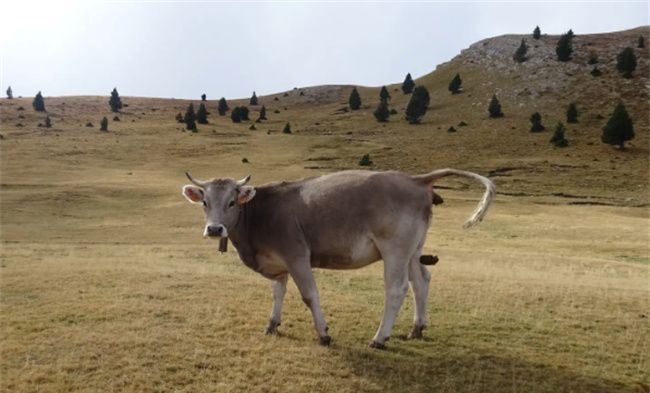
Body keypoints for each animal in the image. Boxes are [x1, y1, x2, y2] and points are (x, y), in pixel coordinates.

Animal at [180, 167, 494, 348]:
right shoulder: (278, 263)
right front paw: (272, 324)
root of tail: (414, 179)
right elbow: (277, 293)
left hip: (395, 249)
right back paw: (417, 328)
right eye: (205, 202)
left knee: (396, 289)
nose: (215, 228)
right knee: (422, 281)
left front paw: (324, 334)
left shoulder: (297, 255)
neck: (259, 215)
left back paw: (380, 338)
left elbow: (309, 295)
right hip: (413, 250)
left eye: (232, 202)